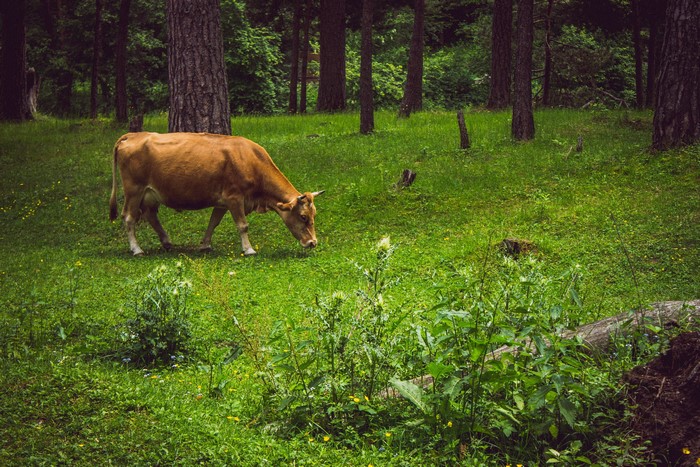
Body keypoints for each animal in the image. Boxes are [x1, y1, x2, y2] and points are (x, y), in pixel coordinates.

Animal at [109, 132, 323, 256]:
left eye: (314, 215)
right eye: (303, 216)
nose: (313, 242)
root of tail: (133, 135)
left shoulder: (222, 202)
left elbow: (214, 222)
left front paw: (205, 245)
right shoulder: (234, 197)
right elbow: (243, 225)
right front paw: (248, 249)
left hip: (150, 195)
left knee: (150, 216)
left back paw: (167, 242)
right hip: (134, 190)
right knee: (129, 217)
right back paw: (137, 249)